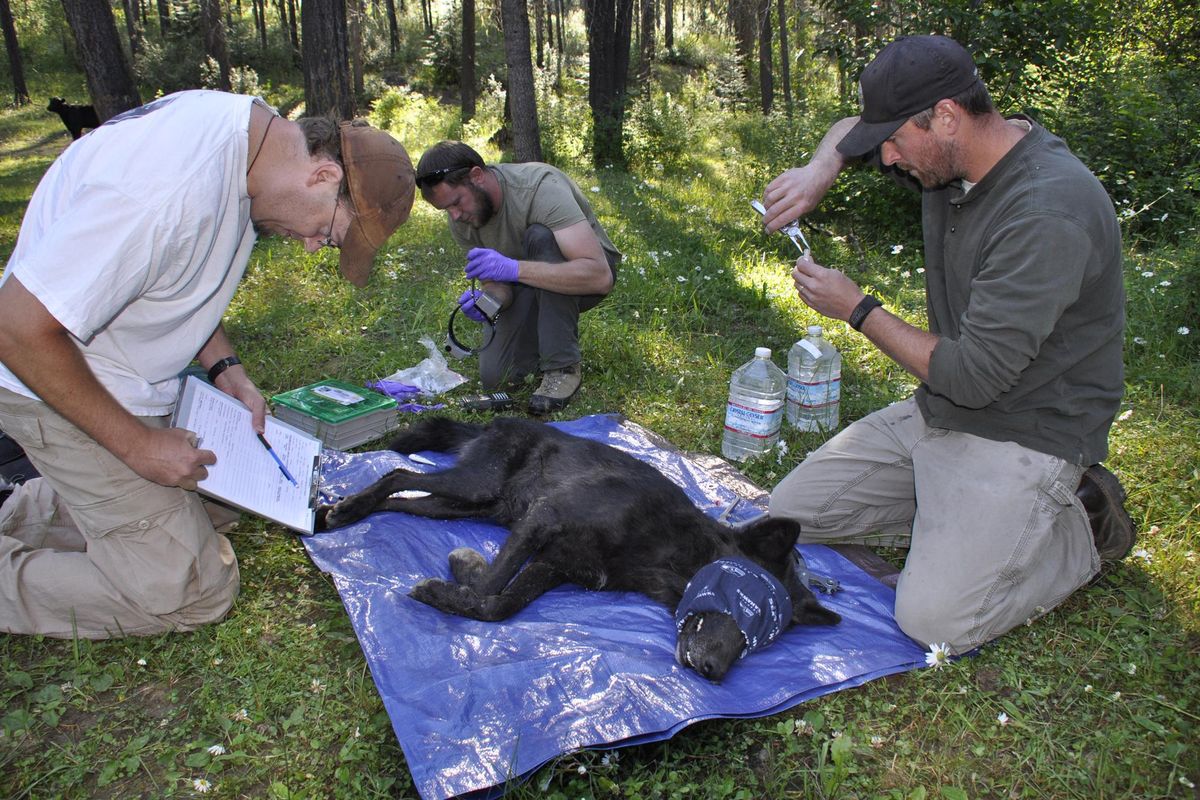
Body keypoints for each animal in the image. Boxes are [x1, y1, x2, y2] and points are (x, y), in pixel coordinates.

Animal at [319, 417, 844, 686]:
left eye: (761, 640)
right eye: (747, 601)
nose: (715, 675)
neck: (667, 547)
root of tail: (496, 420)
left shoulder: (557, 566)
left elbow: (500, 605)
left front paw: (460, 578)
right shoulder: (543, 519)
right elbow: (493, 586)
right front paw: (458, 581)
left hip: (470, 506)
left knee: (404, 496)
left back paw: (340, 510)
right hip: (477, 485)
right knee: (397, 474)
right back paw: (347, 508)